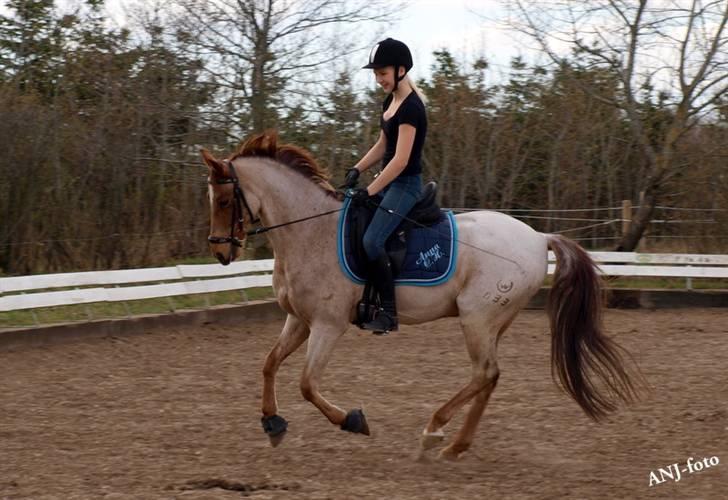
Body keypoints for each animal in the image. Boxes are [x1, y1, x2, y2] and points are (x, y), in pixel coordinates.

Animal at [201, 131, 639, 460]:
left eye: (223, 200)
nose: (221, 252)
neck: (309, 231)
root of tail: (538, 236)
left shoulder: (328, 325)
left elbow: (307, 385)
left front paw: (353, 421)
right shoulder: (299, 320)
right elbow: (269, 364)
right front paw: (272, 424)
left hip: (476, 317)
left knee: (485, 373)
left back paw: (433, 431)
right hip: (494, 321)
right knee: (490, 377)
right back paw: (456, 445)